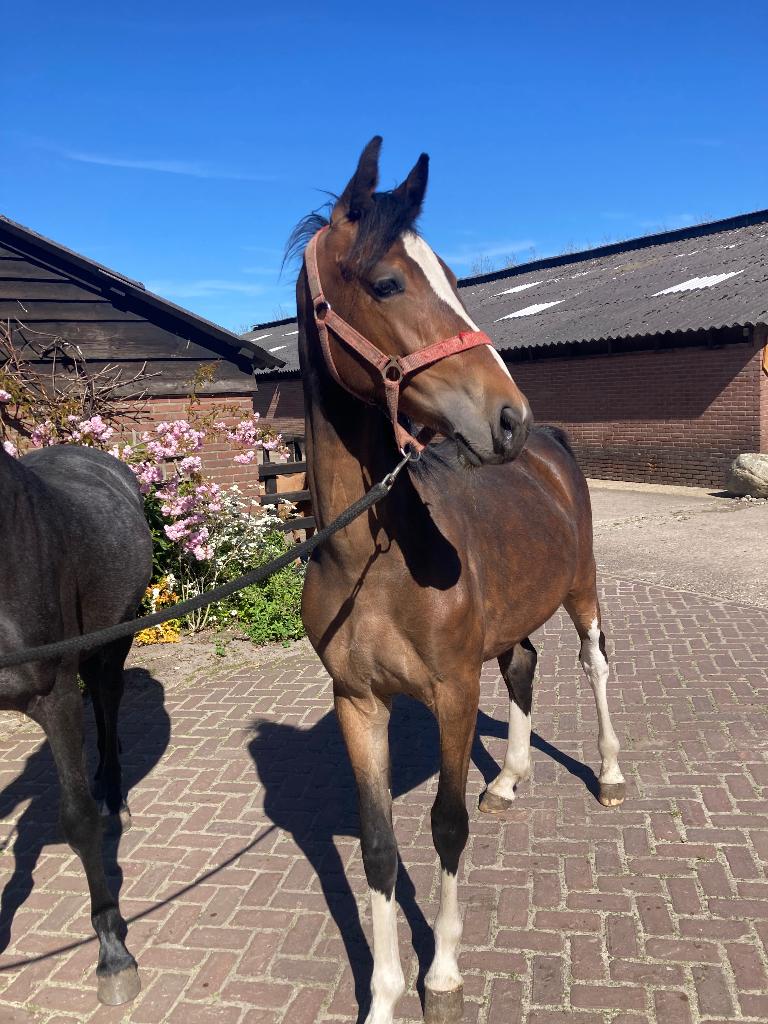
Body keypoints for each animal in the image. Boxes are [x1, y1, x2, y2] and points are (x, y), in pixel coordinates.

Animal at [0, 444, 152, 1005]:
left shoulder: (56, 697)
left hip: (115, 636)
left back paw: (113, 792)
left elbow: (79, 820)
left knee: (107, 700)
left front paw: (113, 954)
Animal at [292, 137, 625, 1024]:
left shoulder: (450, 694)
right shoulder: (358, 703)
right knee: (526, 666)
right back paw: (508, 780)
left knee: (594, 662)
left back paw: (611, 774)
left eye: (448, 275)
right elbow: (378, 847)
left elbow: (443, 827)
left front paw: (440, 974)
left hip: (581, 590)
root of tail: (551, 447)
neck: (371, 560)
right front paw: (382, 996)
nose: (507, 415)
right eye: (387, 282)